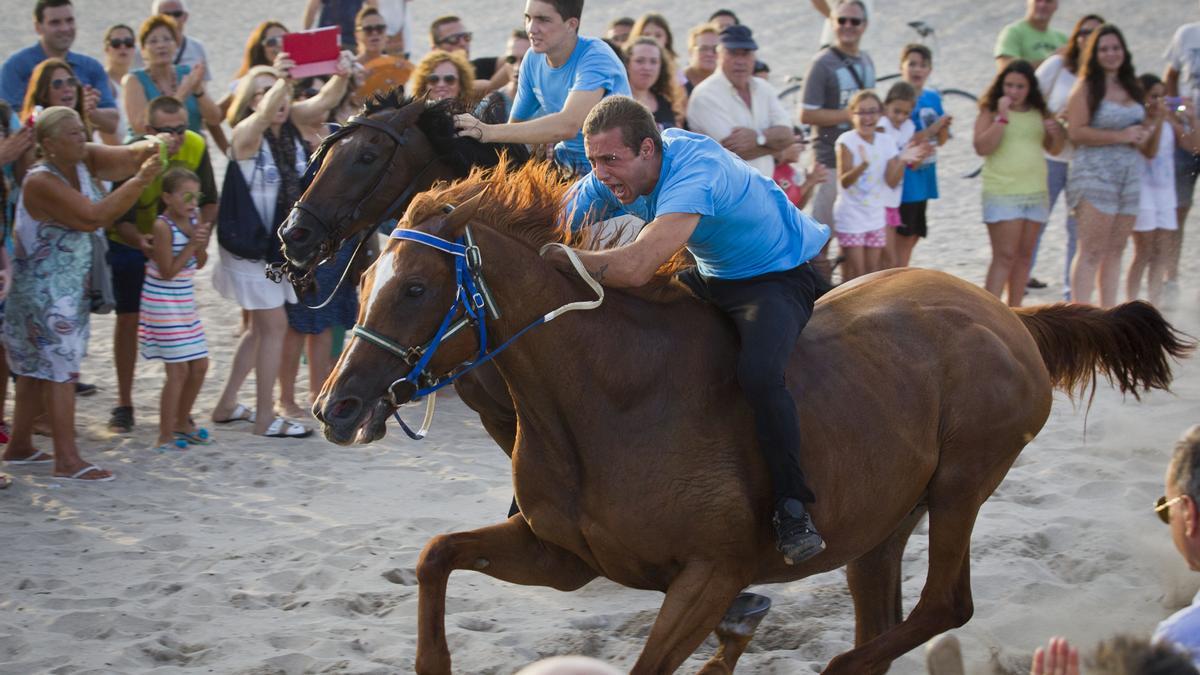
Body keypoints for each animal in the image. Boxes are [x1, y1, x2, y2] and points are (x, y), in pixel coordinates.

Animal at [316, 159, 1190, 667]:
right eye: (361, 285)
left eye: (415, 287)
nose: (335, 405)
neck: (606, 400)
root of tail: (1008, 314)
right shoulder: (565, 554)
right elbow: (434, 555)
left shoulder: (712, 572)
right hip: (881, 519)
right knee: (889, 613)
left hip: (962, 482)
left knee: (946, 604)